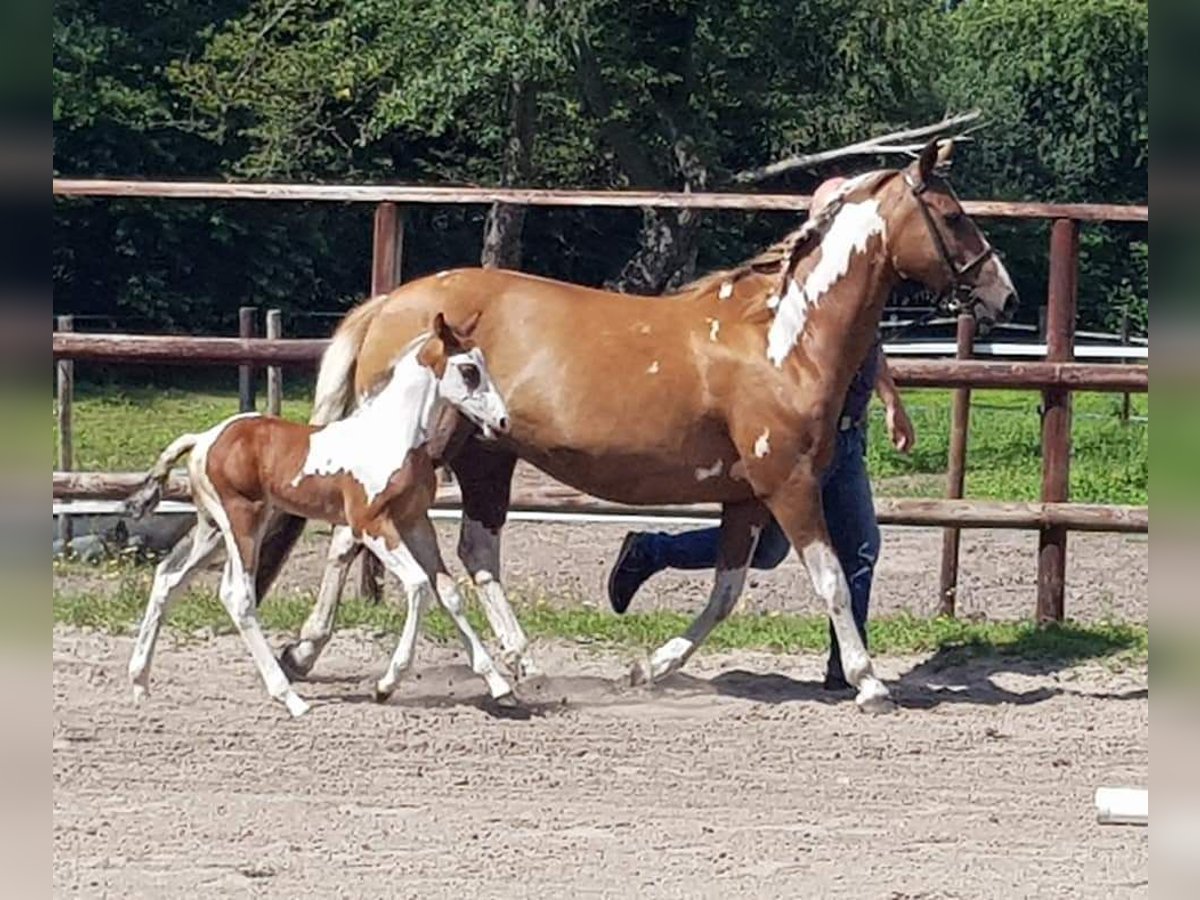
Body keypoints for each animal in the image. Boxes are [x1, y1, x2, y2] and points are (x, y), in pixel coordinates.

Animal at [124, 314, 513, 720]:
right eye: (469, 371)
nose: (503, 421)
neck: (393, 435)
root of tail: (203, 438)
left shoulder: (415, 523)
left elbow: (448, 593)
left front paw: (500, 685)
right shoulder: (371, 525)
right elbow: (419, 585)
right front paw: (387, 685)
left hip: (212, 529)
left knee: (168, 578)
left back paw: (140, 684)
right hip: (243, 523)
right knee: (237, 596)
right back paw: (291, 699)